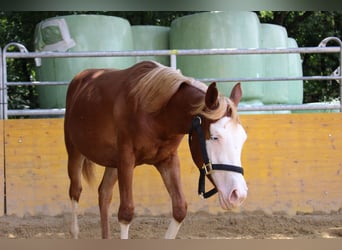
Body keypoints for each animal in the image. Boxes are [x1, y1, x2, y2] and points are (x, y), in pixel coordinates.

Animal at [64, 60, 247, 238]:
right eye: (215, 137)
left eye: (243, 138)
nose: (238, 194)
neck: (157, 112)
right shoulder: (126, 160)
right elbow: (126, 212)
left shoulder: (167, 160)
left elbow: (180, 209)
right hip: (75, 152)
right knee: (75, 191)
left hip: (113, 164)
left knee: (104, 193)